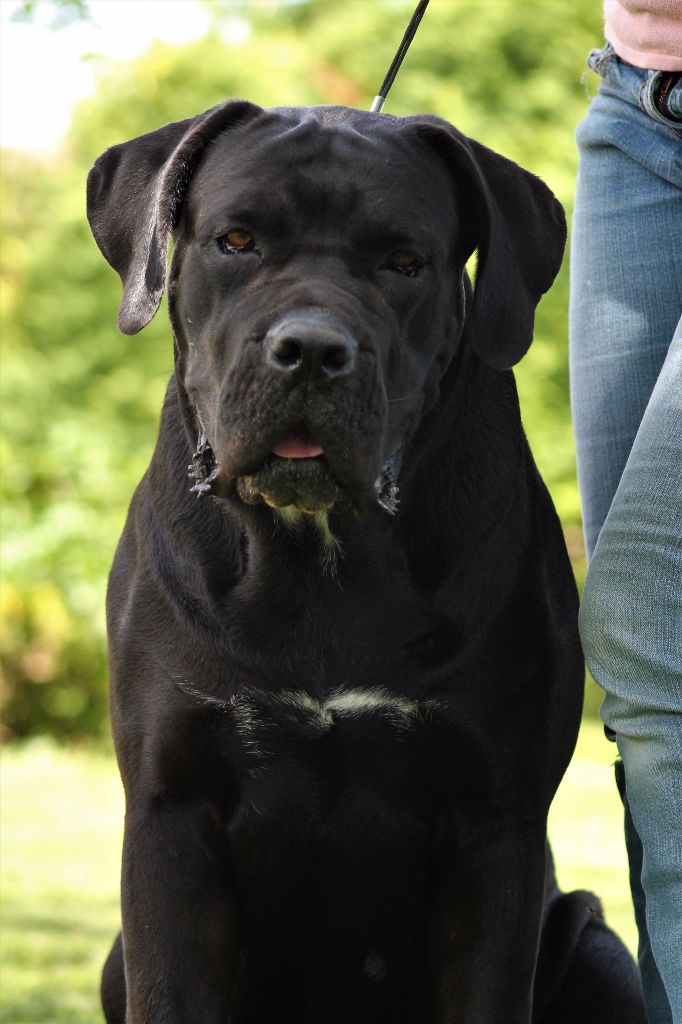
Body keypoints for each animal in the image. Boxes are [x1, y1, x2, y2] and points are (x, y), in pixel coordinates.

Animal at [86, 103, 643, 1024]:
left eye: (404, 262)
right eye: (236, 241)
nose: (311, 348)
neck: (320, 559)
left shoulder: (496, 824)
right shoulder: (170, 810)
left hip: (596, 942)